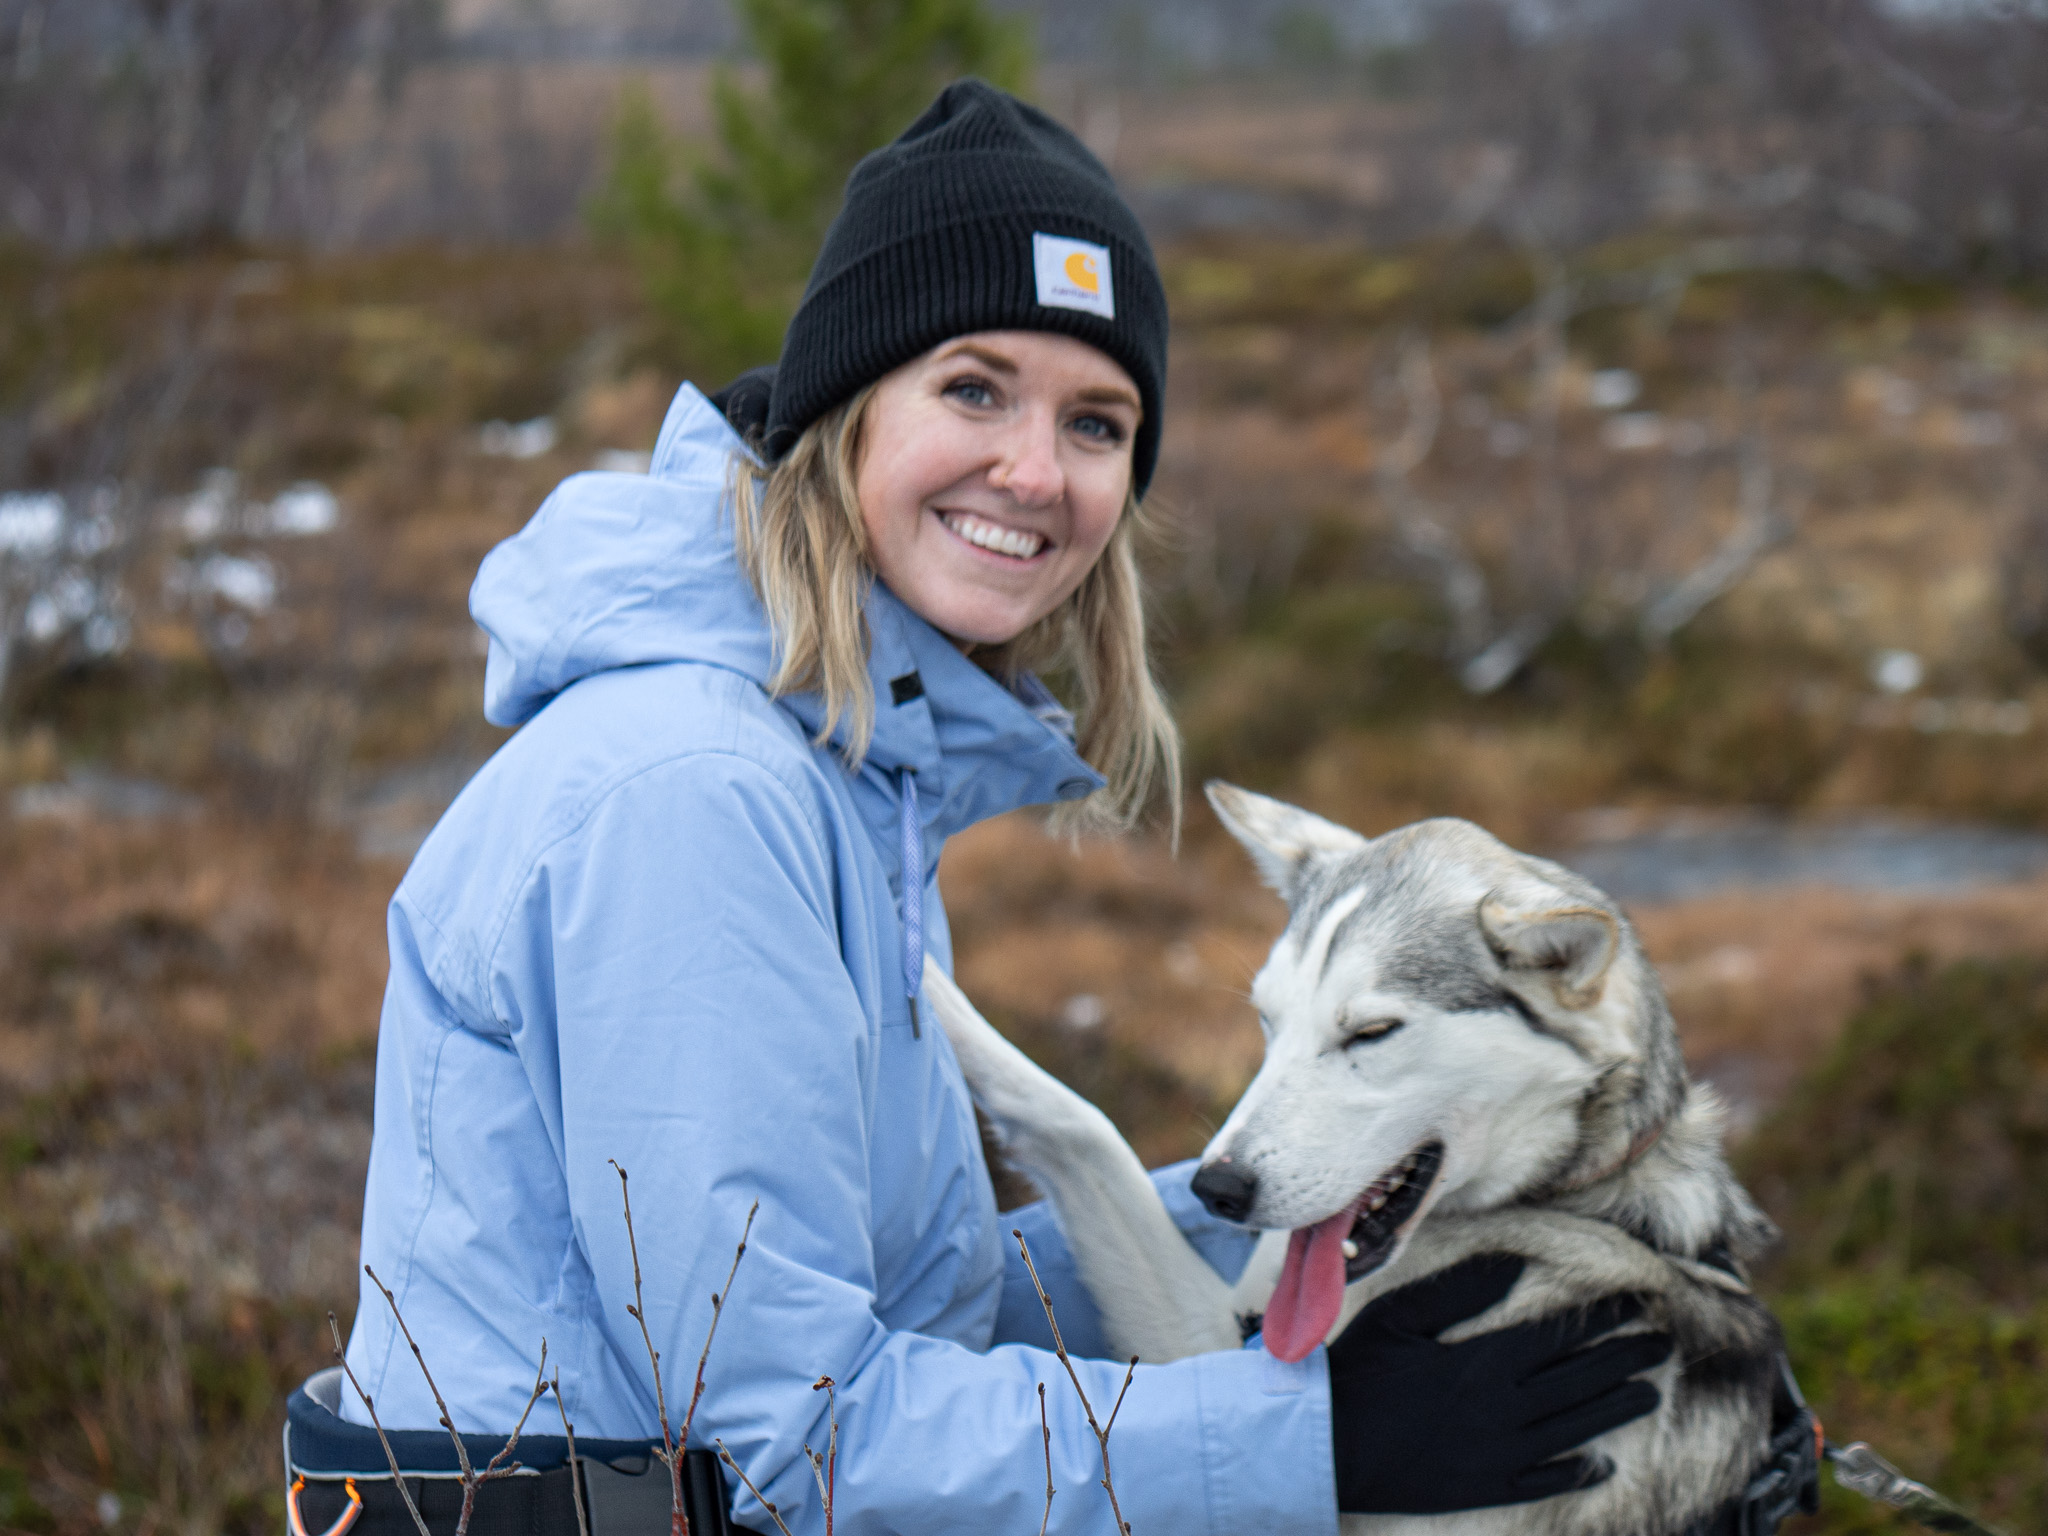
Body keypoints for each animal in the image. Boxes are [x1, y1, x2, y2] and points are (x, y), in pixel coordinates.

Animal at [925, 786, 1794, 1531]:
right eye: (1267, 1020)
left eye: (1371, 1033)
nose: (1217, 1189)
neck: (1574, 1201)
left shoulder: (1199, 1346)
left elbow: (1077, 1122)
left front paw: (929, 982)